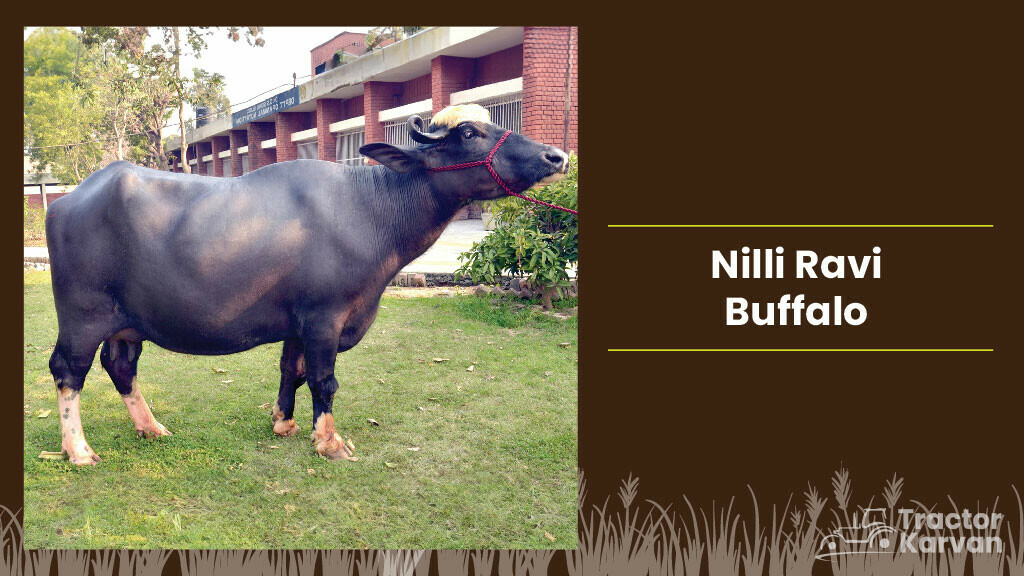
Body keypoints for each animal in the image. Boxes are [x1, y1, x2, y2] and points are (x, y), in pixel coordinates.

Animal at [45, 104, 568, 464]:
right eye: (469, 133)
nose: (557, 155)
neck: (371, 208)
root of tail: (67, 200)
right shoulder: (324, 317)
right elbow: (323, 378)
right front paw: (329, 441)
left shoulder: (296, 322)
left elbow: (289, 370)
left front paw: (285, 422)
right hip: (83, 316)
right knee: (68, 371)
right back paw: (79, 451)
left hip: (126, 322)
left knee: (120, 366)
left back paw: (152, 428)